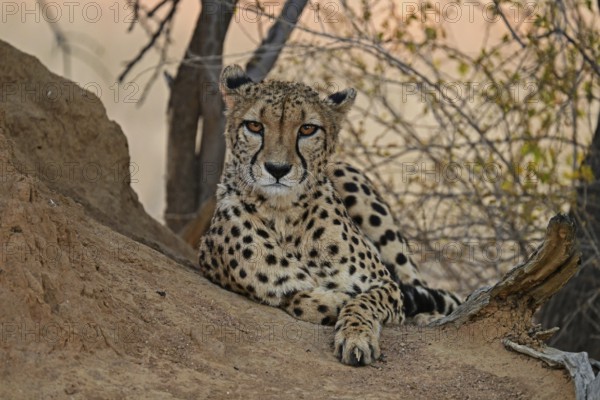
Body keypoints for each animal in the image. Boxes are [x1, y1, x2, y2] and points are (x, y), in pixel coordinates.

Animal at [199, 65, 462, 366]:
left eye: (307, 129)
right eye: (254, 126)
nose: (277, 169)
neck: (284, 215)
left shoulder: (386, 285)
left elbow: (363, 302)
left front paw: (356, 338)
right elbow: (299, 297)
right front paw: (332, 301)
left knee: (416, 281)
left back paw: (428, 316)